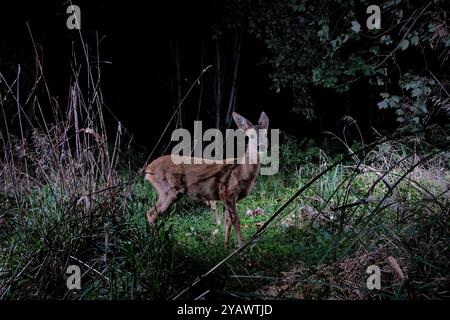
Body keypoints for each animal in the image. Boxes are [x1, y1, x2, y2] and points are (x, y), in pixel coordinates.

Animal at [146, 111, 268, 249]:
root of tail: (149, 169)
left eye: (266, 134)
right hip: (168, 190)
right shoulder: (227, 192)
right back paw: (158, 243)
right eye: (251, 136)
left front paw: (226, 248)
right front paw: (241, 247)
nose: (261, 147)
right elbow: (236, 221)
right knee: (151, 214)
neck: (242, 171)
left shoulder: (225, 197)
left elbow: (227, 223)